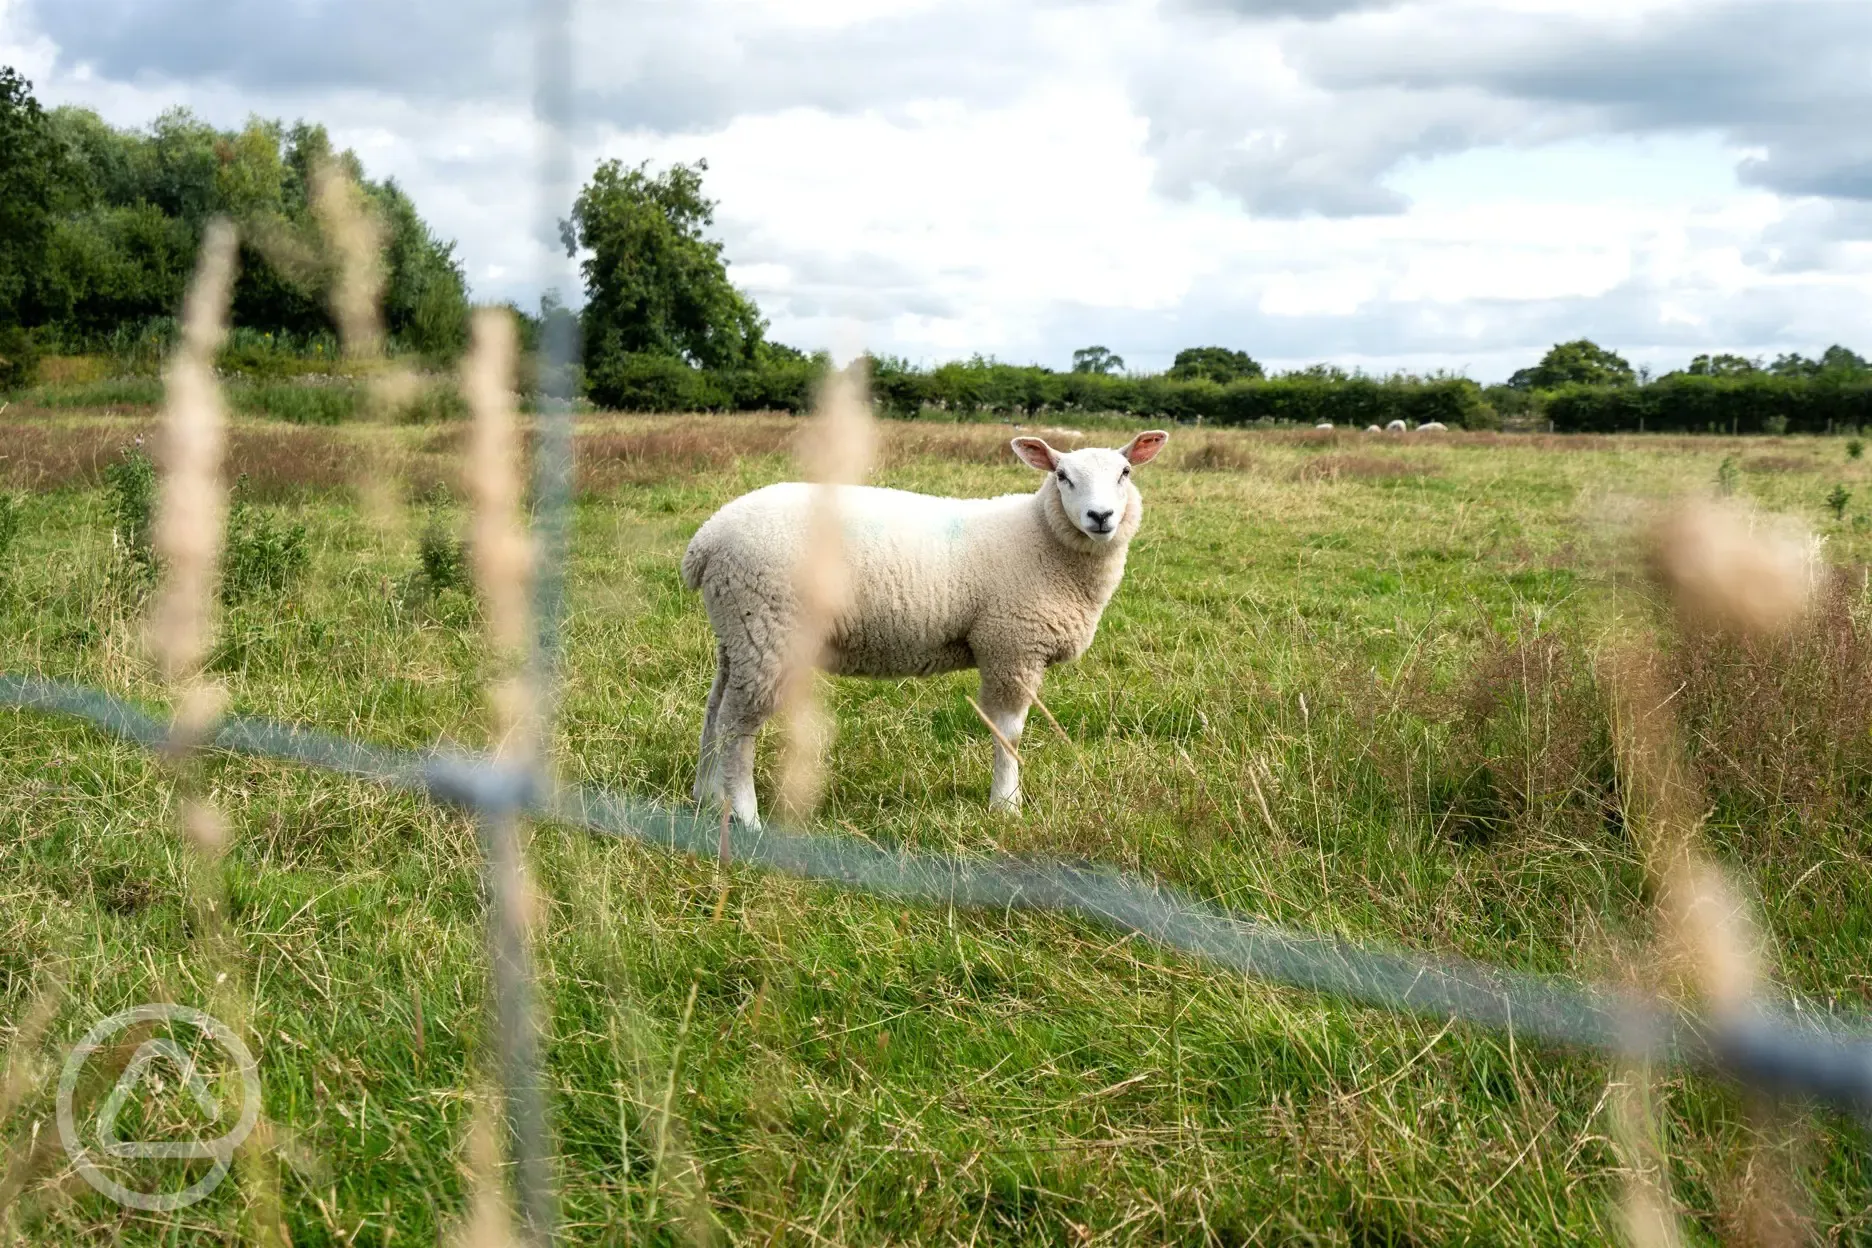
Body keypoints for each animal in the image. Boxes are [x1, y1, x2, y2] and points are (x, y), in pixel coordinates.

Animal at [681, 430, 1160, 830]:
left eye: (1125, 472)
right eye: (1062, 476)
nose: (1101, 516)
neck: (1041, 539)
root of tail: (706, 541)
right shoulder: (1011, 645)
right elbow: (1008, 732)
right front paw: (1006, 806)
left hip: (738, 633)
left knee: (713, 710)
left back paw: (707, 795)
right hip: (770, 631)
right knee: (736, 725)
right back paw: (746, 817)